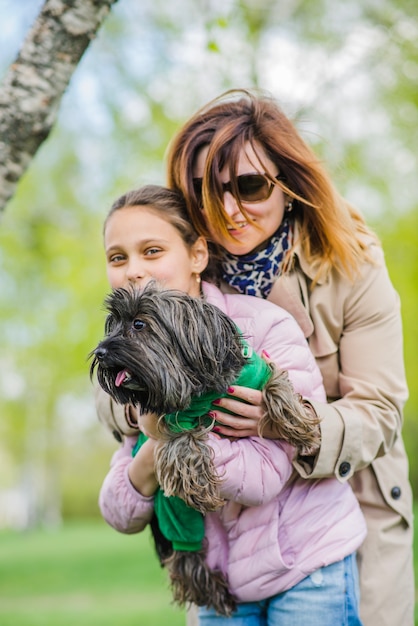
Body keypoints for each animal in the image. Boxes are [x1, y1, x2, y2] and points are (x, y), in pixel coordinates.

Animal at [90, 284, 320, 616]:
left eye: (139, 324)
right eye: (114, 324)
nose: (100, 352)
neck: (200, 385)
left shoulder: (255, 371)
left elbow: (277, 384)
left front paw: (300, 425)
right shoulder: (172, 421)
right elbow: (182, 443)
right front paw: (199, 485)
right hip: (172, 512)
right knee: (186, 560)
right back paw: (215, 593)